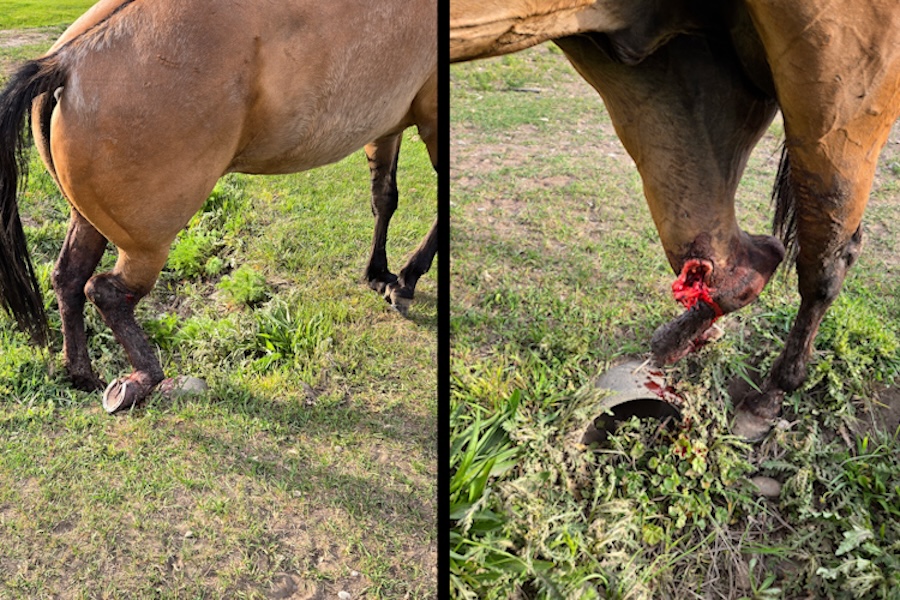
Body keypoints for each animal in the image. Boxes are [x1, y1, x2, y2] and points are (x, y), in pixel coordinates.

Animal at [0, 0, 437, 412]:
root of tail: (68, 59)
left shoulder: (390, 120)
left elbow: (384, 196)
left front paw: (380, 274)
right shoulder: (429, 109)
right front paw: (405, 280)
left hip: (89, 221)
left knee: (68, 277)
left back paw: (82, 373)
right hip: (147, 244)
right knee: (106, 291)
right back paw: (144, 377)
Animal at [451, 0, 900, 439]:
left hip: (833, 95)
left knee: (823, 265)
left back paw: (768, 397)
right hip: (663, 81)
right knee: (746, 260)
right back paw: (679, 343)